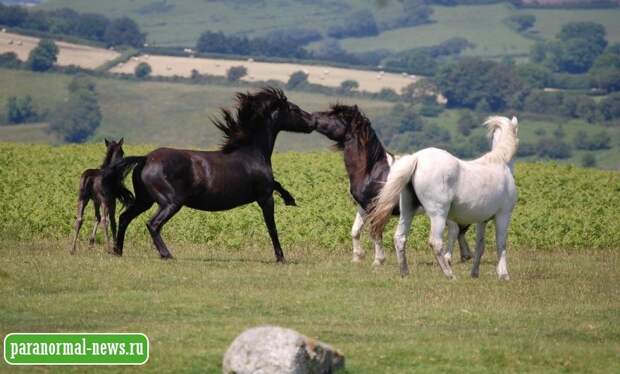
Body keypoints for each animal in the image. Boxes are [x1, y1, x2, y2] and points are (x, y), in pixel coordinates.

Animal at [104, 87, 314, 262]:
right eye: (294, 109)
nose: (312, 122)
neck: (252, 153)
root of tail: (145, 159)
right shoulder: (265, 197)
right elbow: (272, 227)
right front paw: (281, 258)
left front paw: (290, 199)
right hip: (170, 202)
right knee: (153, 224)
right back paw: (167, 255)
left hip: (144, 200)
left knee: (124, 218)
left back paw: (118, 251)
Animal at [312, 105, 472, 266]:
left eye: (334, 116)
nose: (312, 116)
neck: (372, 171)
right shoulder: (364, 206)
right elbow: (355, 230)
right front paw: (357, 257)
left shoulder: (377, 208)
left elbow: (375, 232)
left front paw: (378, 260)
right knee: (458, 229)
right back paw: (464, 256)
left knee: (454, 229)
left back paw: (448, 258)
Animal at [368, 117, 520, 280]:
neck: (499, 162)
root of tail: (417, 158)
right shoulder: (503, 215)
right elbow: (501, 244)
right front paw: (503, 274)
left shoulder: (482, 220)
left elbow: (480, 246)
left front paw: (474, 273)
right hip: (438, 215)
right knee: (436, 242)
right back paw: (449, 274)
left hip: (408, 211)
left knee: (400, 238)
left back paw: (405, 273)